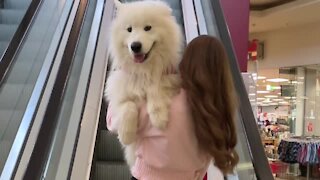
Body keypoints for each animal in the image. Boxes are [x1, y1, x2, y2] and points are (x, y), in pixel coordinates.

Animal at [105, 0, 182, 166]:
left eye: (148, 27)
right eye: (129, 29)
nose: (135, 46)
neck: (143, 70)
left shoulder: (171, 77)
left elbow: (155, 88)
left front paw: (159, 118)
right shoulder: (117, 96)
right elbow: (128, 106)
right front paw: (126, 134)